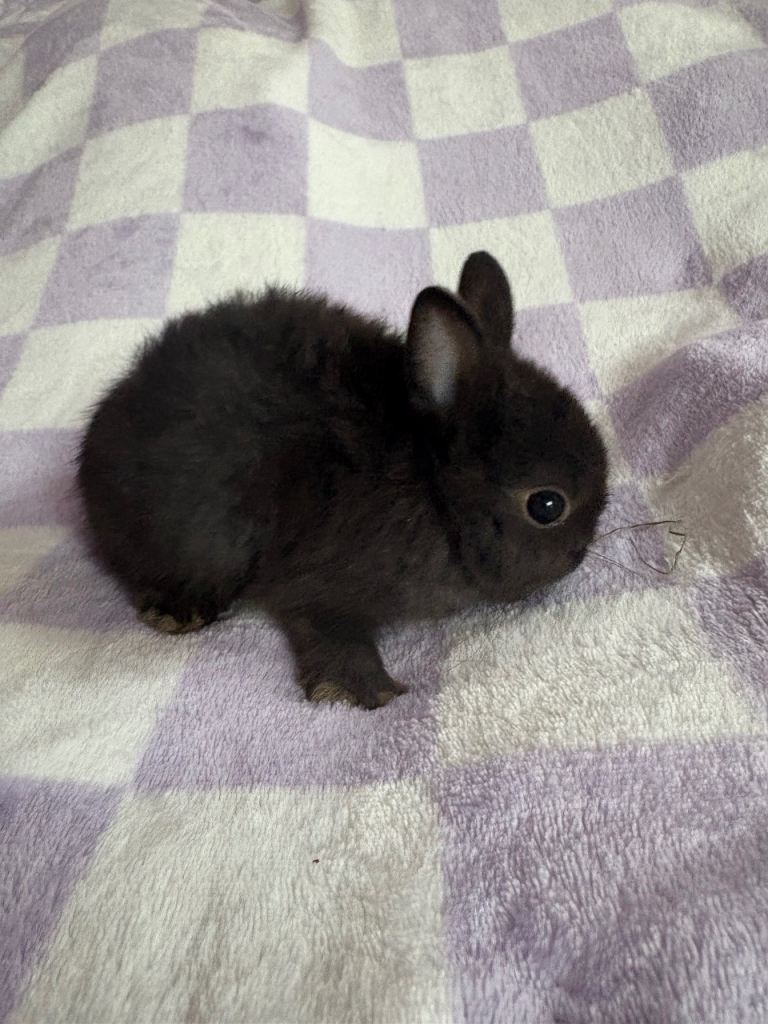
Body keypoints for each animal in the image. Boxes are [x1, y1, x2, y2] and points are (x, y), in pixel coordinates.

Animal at [77, 251, 608, 708]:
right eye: (547, 506)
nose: (580, 555)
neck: (434, 488)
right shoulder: (318, 589)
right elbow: (329, 631)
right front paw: (367, 692)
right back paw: (179, 613)